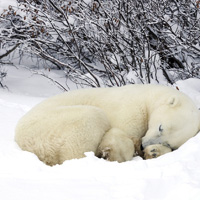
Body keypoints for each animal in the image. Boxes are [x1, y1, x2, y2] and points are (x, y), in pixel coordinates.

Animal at [15, 84, 200, 166]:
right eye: (161, 127)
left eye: (169, 142)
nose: (143, 145)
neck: (149, 97)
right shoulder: (131, 111)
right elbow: (118, 135)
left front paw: (153, 152)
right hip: (52, 126)